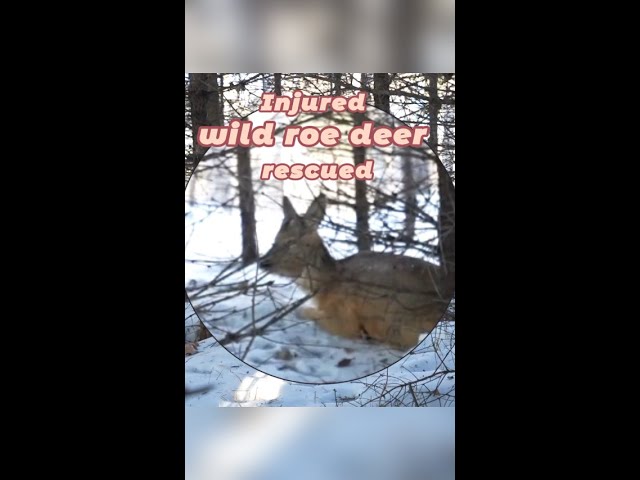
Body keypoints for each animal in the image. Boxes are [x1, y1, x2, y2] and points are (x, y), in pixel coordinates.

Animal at [260, 194, 456, 348]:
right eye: (275, 240)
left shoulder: (344, 317)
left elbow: (304, 312)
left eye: (291, 242)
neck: (326, 285)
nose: (263, 262)